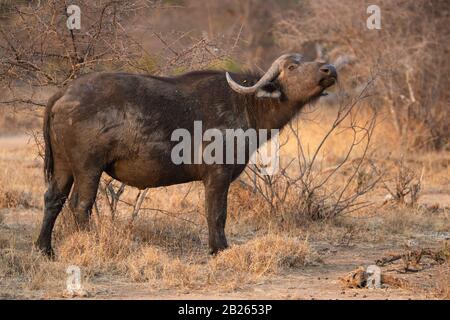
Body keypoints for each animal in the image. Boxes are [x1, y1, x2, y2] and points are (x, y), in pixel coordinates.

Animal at [35, 53, 336, 256]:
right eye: (292, 67)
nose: (329, 68)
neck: (245, 103)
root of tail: (64, 92)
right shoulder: (218, 174)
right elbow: (216, 213)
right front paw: (219, 249)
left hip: (64, 167)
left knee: (53, 199)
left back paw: (44, 249)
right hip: (88, 167)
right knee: (80, 205)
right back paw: (90, 245)